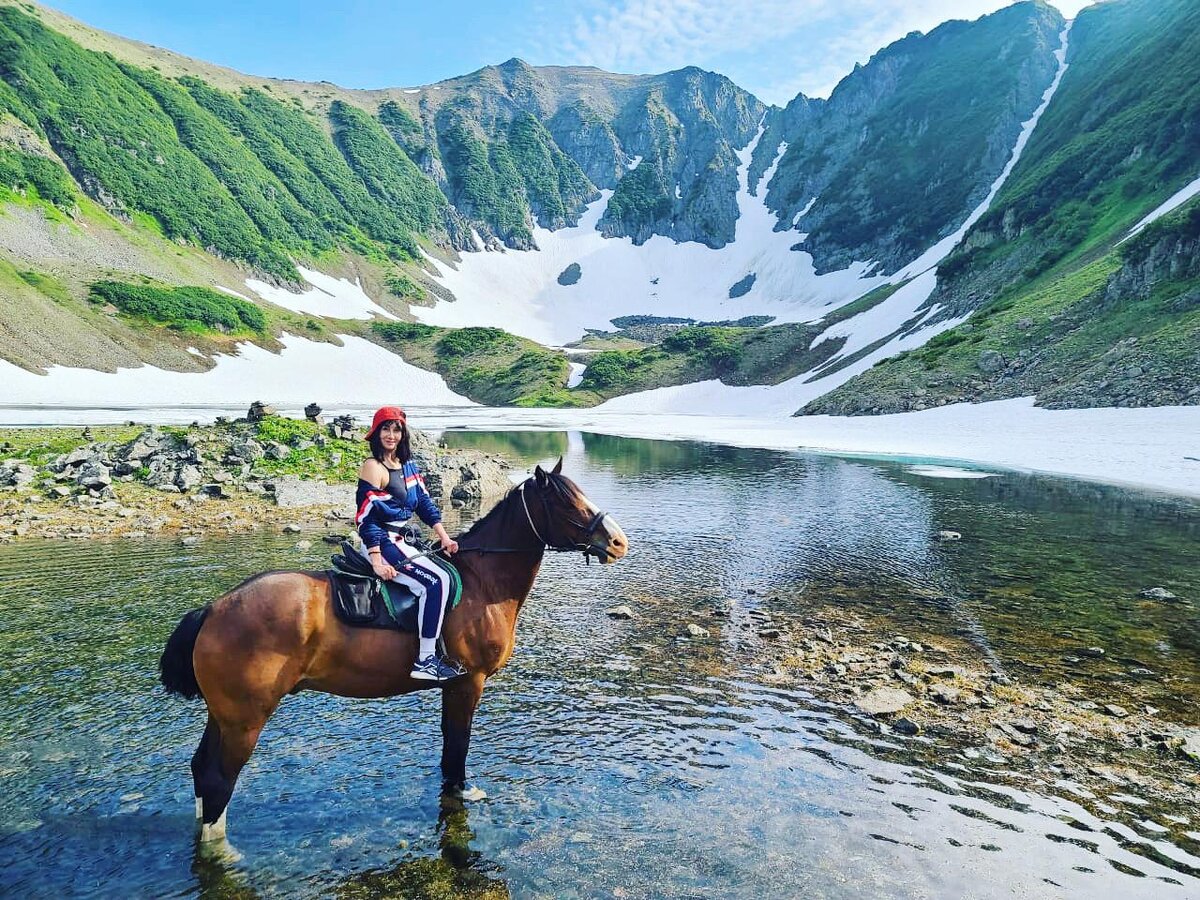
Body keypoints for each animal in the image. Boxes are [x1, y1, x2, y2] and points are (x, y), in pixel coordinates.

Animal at [159, 460, 628, 844]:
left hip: (223, 717)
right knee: (219, 780)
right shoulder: (469, 682)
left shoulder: (452, 687)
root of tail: (215, 608)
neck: (482, 581)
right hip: (245, 721)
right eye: (567, 503)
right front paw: (463, 790)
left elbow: (449, 746)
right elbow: (459, 744)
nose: (618, 542)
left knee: (201, 769)